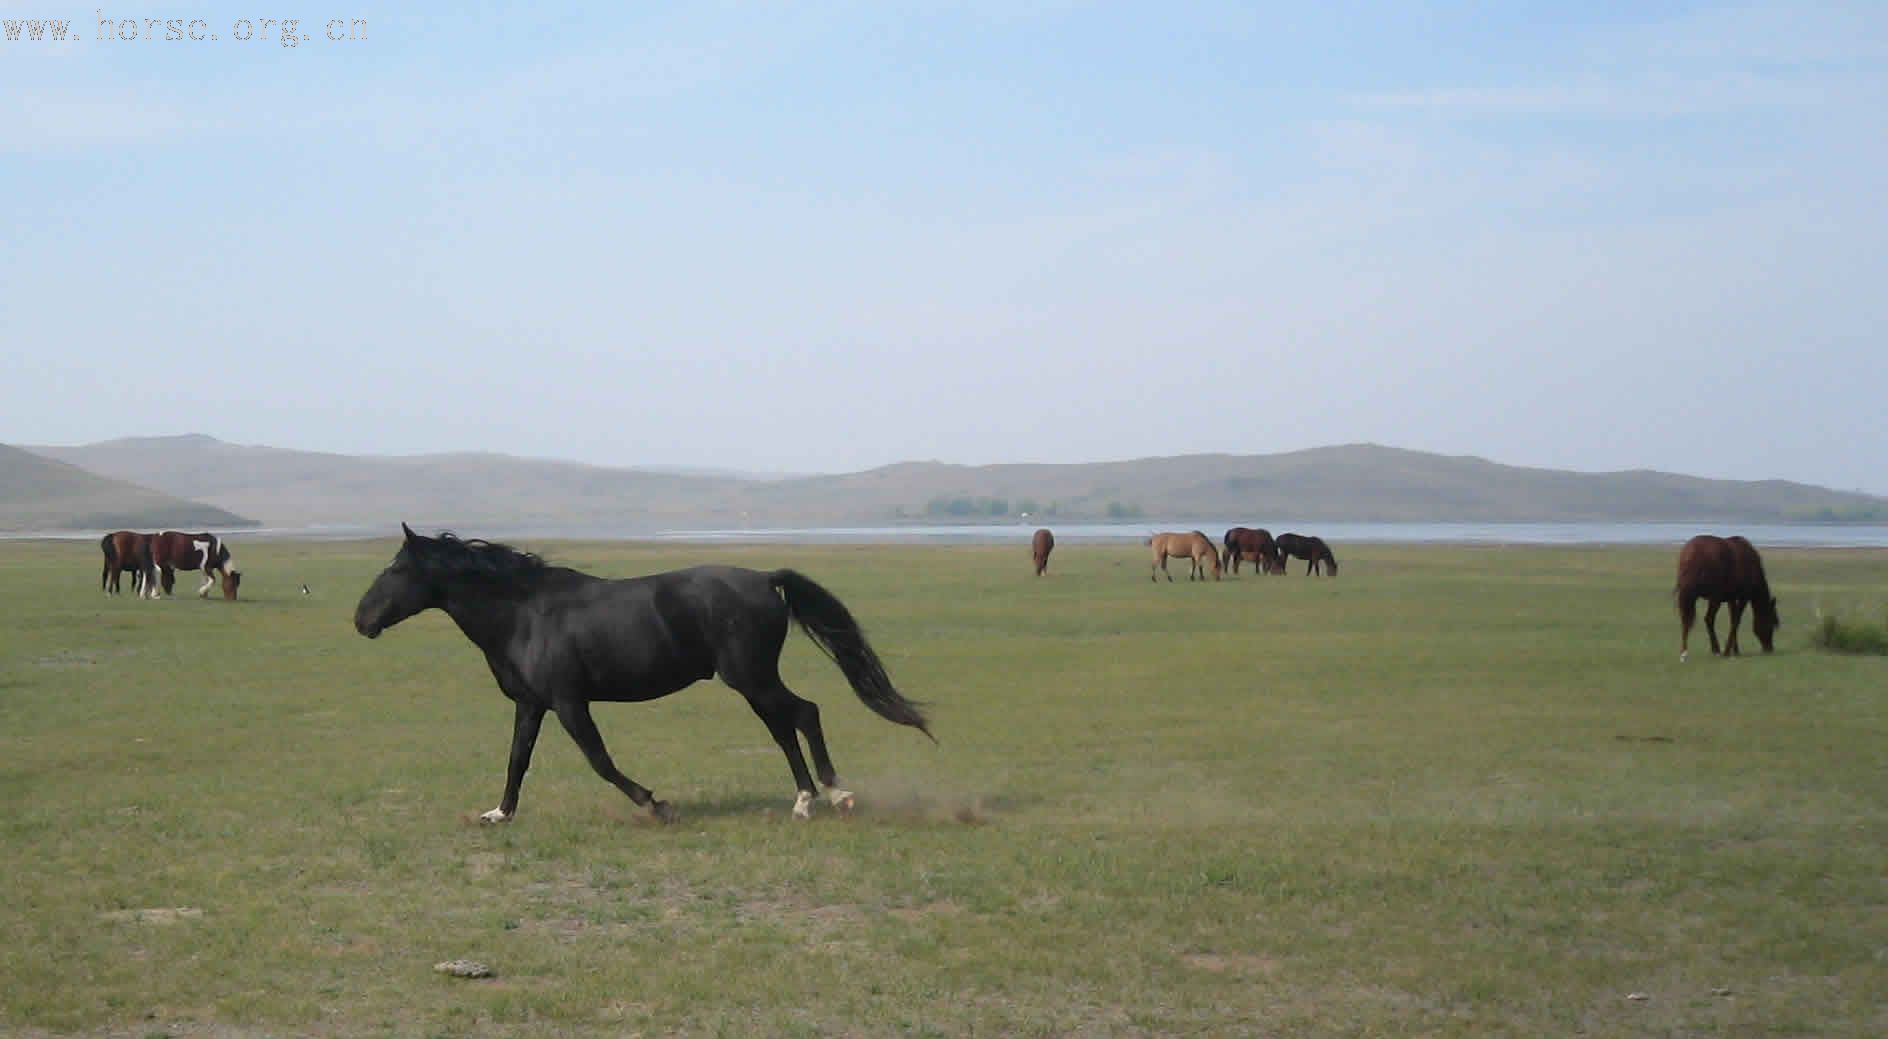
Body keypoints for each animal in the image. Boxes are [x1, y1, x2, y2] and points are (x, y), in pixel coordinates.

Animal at [353, 528, 928, 831]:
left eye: (397, 570)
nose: (361, 620)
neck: (525, 614)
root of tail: (766, 580)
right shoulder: (532, 704)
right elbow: (518, 759)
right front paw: (499, 813)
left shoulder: (569, 702)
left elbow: (600, 760)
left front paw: (656, 803)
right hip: (752, 682)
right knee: (785, 727)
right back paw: (807, 799)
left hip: (751, 677)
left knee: (803, 714)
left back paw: (832, 794)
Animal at [1676, 532, 1774, 664]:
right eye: (1772, 622)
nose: (1770, 648)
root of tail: (1690, 552)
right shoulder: (1743, 597)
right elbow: (1736, 621)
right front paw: (1728, 651)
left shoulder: (1731, 599)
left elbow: (1733, 619)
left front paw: (1735, 650)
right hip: (1712, 598)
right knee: (1708, 619)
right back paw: (1714, 650)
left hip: (1691, 597)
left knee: (1688, 621)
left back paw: (1685, 652)